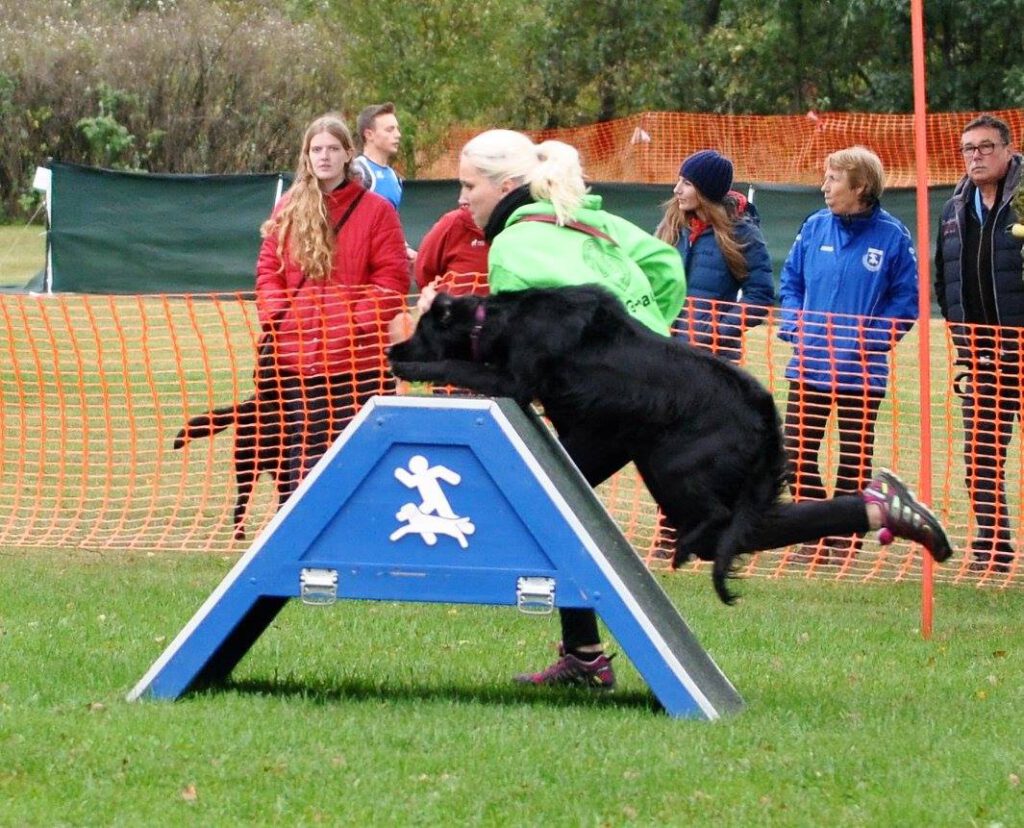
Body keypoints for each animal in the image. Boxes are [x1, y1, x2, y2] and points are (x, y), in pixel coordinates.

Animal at [387, 284, 786, 601]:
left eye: (421, 331)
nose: (393, 351)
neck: (501, 320)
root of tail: (765, 410)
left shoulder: (514, 381)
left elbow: (457, 365)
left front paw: (415, 369)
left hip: (673, 464)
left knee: (717, 513)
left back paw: (683, 550)